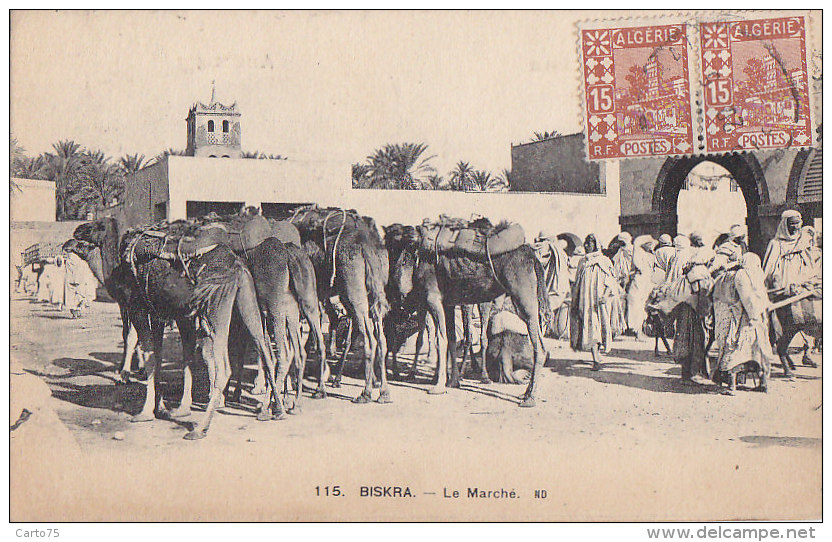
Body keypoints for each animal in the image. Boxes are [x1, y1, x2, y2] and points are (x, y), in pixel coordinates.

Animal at [72, 219, 280, 440]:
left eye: (96, 225)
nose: (76, 231)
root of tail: (237, 266)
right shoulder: (162, 314)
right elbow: (167, 356)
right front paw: (168, 408)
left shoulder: (138, 308)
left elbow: (149, 355)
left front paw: (145, 412)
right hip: (246, 299)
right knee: (265, 351)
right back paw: (272, 410)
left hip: (216, 306)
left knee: (225, 366)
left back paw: (200, 428)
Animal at [390, 221, 552, 408]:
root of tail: (533, 257)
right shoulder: (448, 303)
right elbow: (452, 339)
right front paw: (453, 381)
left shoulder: (433, 298)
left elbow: (440, 340)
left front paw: (438, 386)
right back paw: (525, 393)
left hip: (524, 296)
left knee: (539, 346)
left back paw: (530, 397)